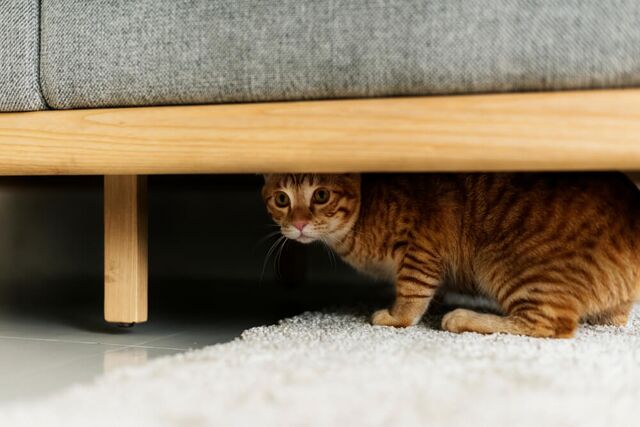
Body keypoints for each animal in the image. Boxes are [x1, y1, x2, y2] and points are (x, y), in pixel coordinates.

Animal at [262, 173, 640, 338]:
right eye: (281, 199)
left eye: (321, 195)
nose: (298, 223)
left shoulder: (421, 247)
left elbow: (411, 293)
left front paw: (396, 316)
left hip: (505, 264)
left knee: (549, 325)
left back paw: (465, 318)